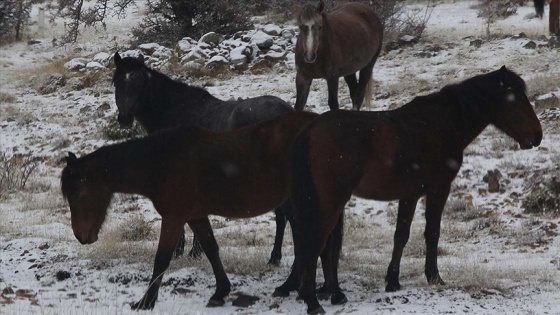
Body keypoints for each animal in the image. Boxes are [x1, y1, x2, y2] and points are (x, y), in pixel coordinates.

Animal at [60, 111, 318, 312]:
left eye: (76, 194)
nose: (80, 236)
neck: (163, 163)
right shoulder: (195, 216)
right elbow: (211, 248)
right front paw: (220, 292)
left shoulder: (174, 218)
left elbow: (161, 259)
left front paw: (145, 303)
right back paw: (290, 286)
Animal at [280, 65, 544, 314]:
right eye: (515, 99)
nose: (537, 135)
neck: (442, 123)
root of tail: (308, 131)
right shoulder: (439, 189)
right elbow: (432, 233)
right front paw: (434, 276)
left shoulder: (410, 195)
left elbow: (401, 235)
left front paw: (393, 281)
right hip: (330, 203)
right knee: (315, 243)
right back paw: (313, 301)